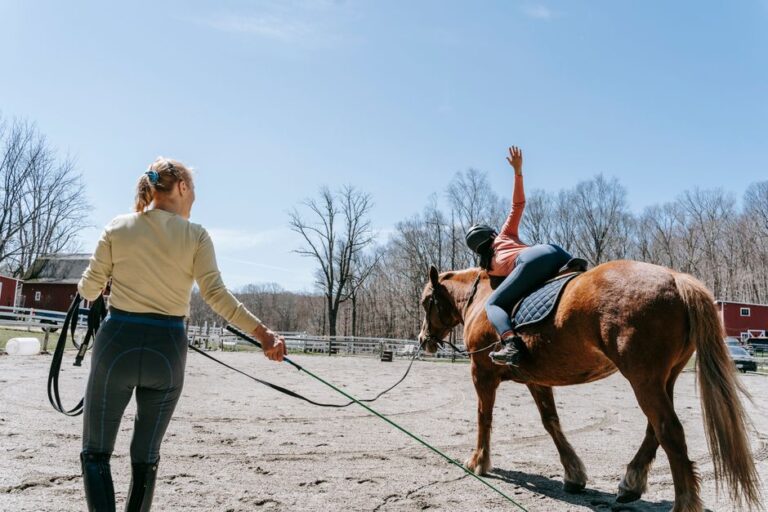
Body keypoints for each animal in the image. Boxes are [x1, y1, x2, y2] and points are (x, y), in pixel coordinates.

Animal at [417, 261, 760, 512]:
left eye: (425, 302)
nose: (423, 340)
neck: (482, 301)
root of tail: (676, 279)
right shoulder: (536, 380)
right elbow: (551, 422)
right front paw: (573, 474)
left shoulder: (482, 374)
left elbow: (483, 418)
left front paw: (478, 461)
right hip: (666, 378)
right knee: (655, 429)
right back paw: (631, 482)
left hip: (644, 379)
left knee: (669, 431)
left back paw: (681, 502)